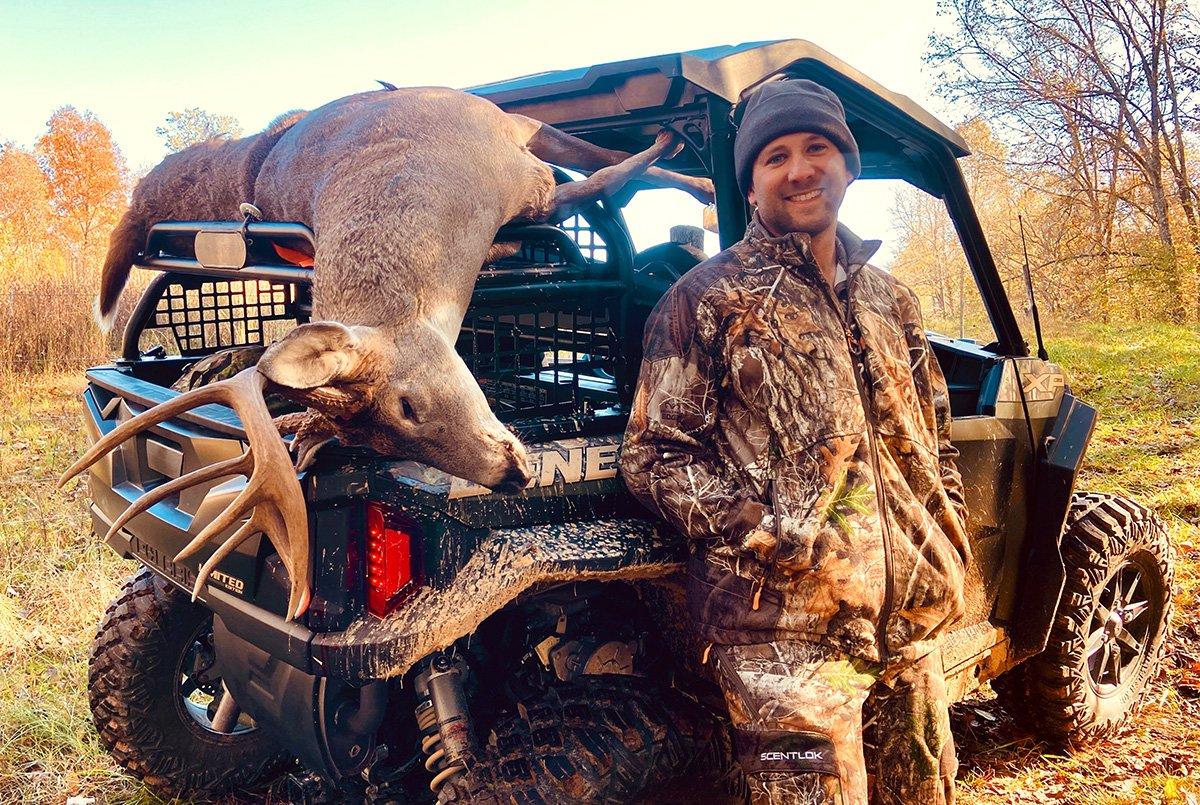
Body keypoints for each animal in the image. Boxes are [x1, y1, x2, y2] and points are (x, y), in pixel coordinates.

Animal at [58, 85, 710, 619]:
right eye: (383, 443)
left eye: (407, 407)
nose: (512, 474)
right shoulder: (532, 177)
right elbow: (612, 178)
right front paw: (678, 147)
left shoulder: (519, 143)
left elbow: (614, 168)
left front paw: (684, 155)